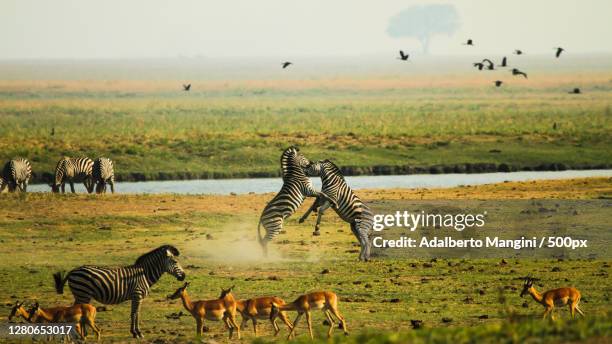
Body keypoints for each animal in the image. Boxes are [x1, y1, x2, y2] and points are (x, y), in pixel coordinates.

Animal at [53, 245, 185, 338]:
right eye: (175, 262)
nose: (184, 276)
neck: (144, 274)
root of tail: (73, 270)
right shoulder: (137, 295)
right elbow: (135, 314)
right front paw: (137, 333)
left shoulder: (136, 297)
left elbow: (135, 314)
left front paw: (135, 332)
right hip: (83, 293)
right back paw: (81, 334)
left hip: (81, 294)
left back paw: (81, 333)